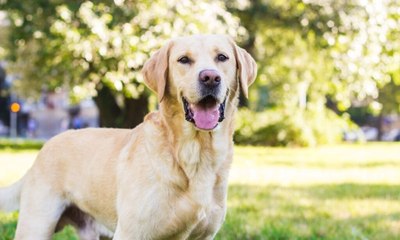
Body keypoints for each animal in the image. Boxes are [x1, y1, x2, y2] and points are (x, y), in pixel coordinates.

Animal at [0, 34, 256, 240]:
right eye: (184, 60)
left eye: (222, 57)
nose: (210, 78)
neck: (194, 153)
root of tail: (45, 147)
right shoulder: (131, 232)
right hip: (36, 225)